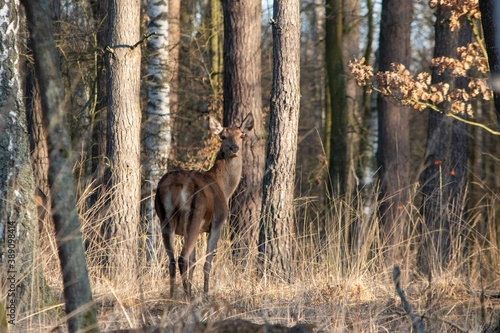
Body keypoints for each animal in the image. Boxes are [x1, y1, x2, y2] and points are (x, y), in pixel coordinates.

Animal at [155, 113, 254, 296]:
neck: (224, 188)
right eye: (223, 136)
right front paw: (206, 294)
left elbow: (194, 262)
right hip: (195, 214)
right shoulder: (217, 223)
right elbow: (207, 263)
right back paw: (187, 297)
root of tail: (174, 186)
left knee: (172, 259)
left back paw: (173, 296)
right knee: (182, 258)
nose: (234, 148)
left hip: (164, 218)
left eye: (241, 135)